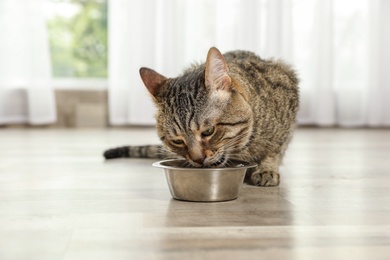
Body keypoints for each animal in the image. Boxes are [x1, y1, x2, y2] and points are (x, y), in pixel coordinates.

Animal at [103, 47, 298, 187]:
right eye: (177, 141)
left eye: (208, 131)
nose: (197, 159)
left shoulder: (288, 85)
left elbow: (275, 148)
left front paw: (267, 168)